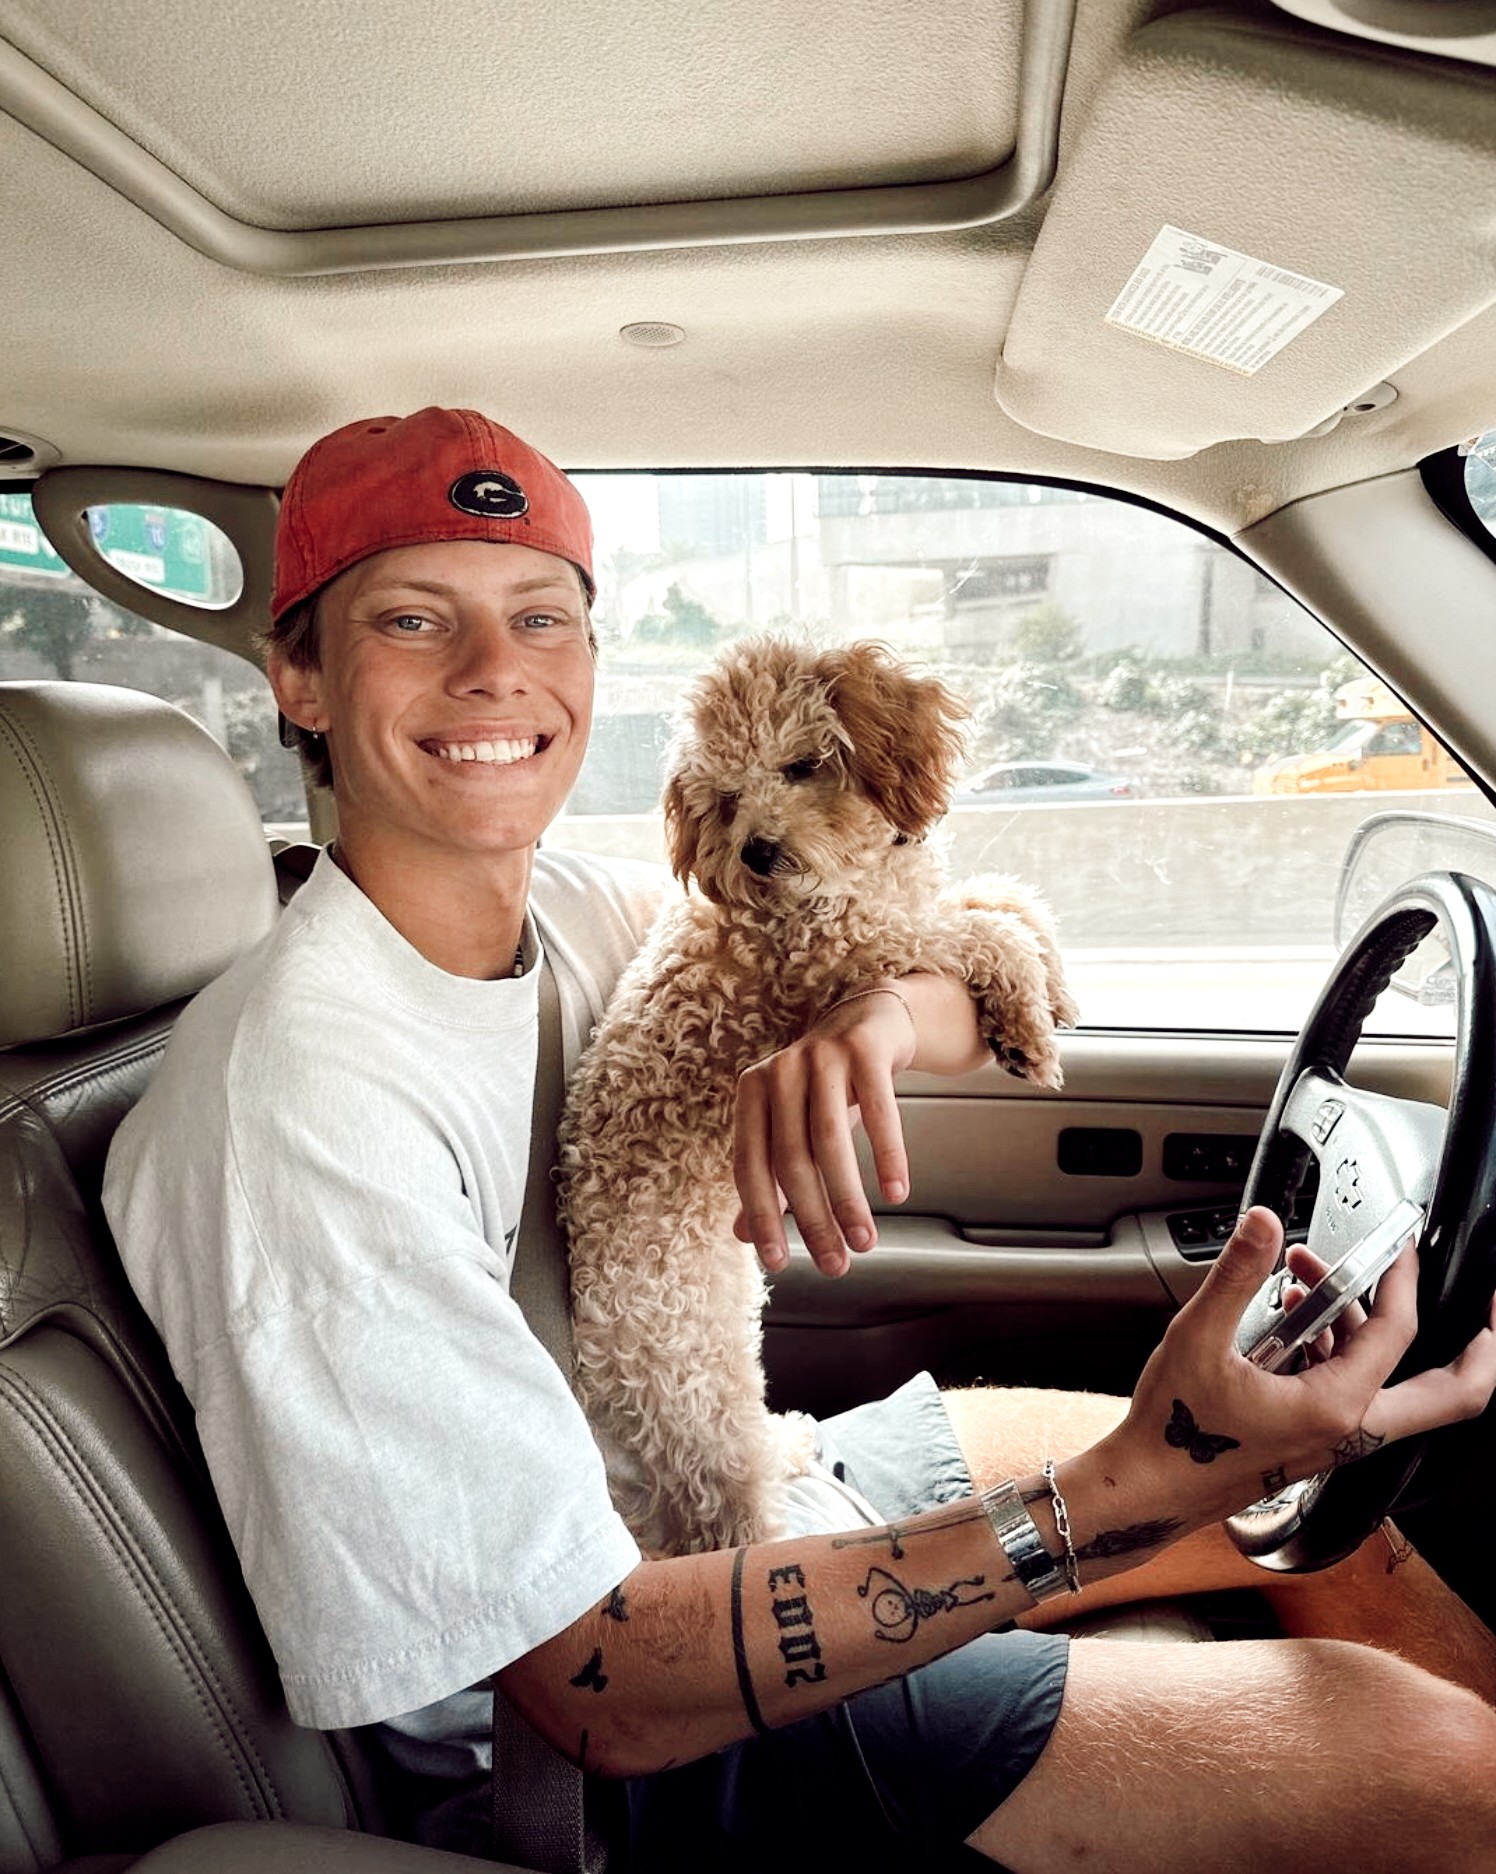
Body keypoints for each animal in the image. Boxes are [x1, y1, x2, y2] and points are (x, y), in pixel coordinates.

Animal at [558, 637, 1079, 1559]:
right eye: (726, 798)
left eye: (803, 765)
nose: (756, 852)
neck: (846, 878)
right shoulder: (856, 945)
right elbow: (982, 929)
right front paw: (1025, 1019)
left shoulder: (898, 906)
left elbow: (1002, 896)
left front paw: (1051, 986)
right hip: (700, 1408)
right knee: (732, 1525)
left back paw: (793, 1442)